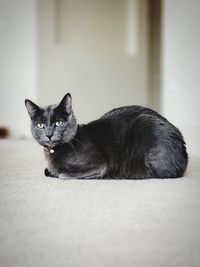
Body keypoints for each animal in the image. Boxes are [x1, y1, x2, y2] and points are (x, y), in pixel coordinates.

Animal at [24, 93, 188, 180]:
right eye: (40, 125)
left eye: (59, 123)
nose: (49, 134)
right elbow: (48, 170)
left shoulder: (99, 164)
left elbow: (62, 174)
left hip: (144, 123)